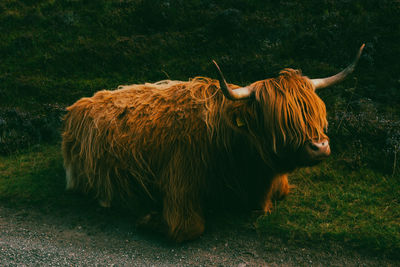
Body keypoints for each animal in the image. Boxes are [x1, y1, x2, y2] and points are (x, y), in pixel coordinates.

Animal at [63, 44, 366, 243]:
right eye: (278, 118)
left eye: (316, 111)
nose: (320, 146)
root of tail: (78, 105)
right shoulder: (180, 183)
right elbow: (187, 228)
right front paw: (148, 219)